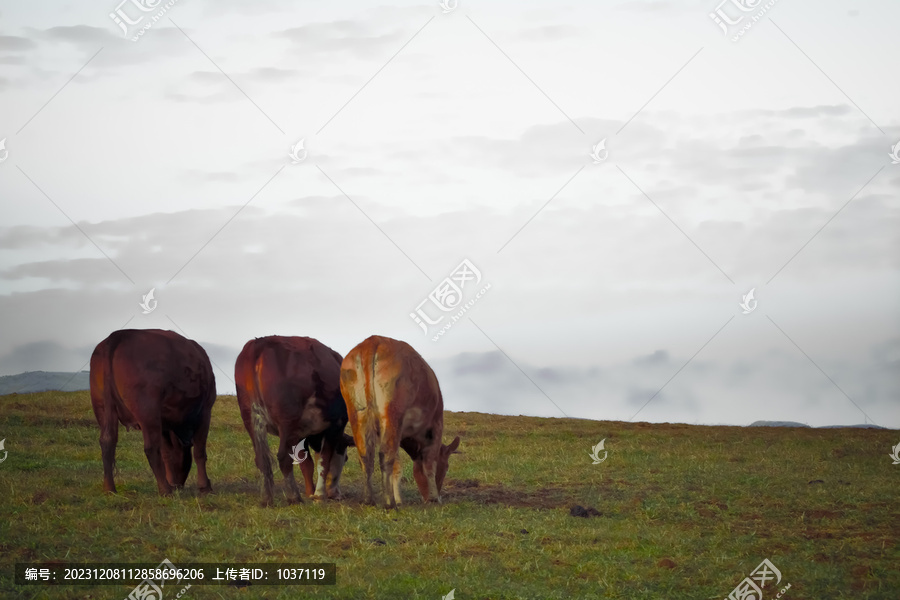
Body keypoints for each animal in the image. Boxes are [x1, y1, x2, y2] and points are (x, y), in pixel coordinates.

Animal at [89, 330, 216, 494]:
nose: (178, 484)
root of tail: (119, 335)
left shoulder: (163, 422)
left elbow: (167, 453)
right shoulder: (205, 411)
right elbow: (199, 452)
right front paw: (205, 486)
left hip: (103, 408)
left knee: (107, 442)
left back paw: (109, 488)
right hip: (147, 413)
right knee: (150, 449)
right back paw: (165, 490)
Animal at [234, 336, 354, 508]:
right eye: (345, 458)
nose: (336, 494)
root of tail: (259, 343)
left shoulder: (300, 434)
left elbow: (307, 463)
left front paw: (310, 492)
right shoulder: (335, 425)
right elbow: (323, 461)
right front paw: (319, 494)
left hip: (249, 418)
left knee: (261, 460)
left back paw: (266, 499)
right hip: (287, 422)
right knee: (284, 458)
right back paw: (294, 497)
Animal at [342, 336, 460, 508]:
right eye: (446, 467)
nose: (429, 497)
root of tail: (372, 341)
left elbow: (397, 466)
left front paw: (399, 499)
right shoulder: (436, 425)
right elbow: (429, 463)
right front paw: (433, 498)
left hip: (356, 412)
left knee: (365, 455)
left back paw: (368, 500)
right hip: (393, 412)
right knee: (385, 454)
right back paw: (388, 503)